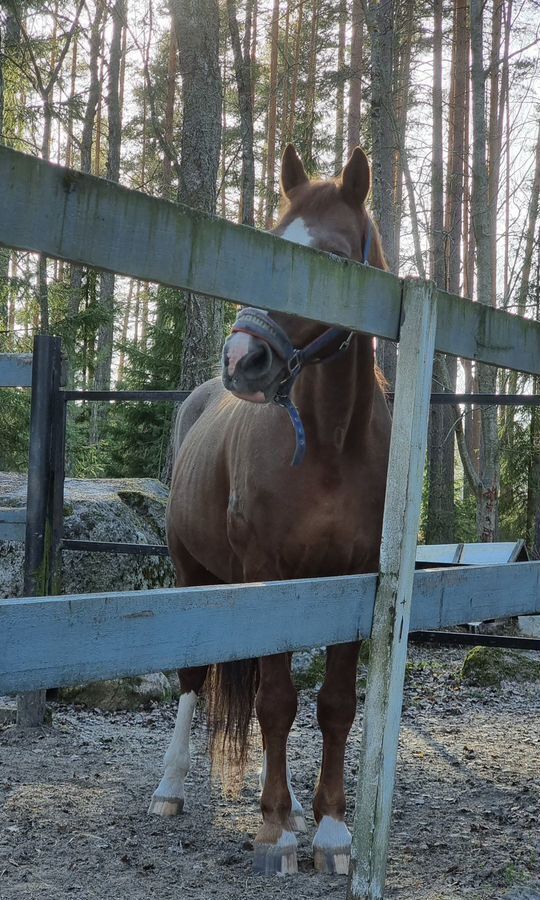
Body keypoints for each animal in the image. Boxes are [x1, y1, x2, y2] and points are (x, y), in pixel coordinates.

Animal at [149, 144, 388, 876]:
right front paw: (276, 830)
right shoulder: (270, 571)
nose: (243, 357)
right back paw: (170, 788)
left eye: (333, 256)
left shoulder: (354, 578)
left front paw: (331, 828)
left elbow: (334, 705)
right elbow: (276, 702)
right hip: (193, 573)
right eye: (273, 246)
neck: (332, 444)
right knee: (194, 679)